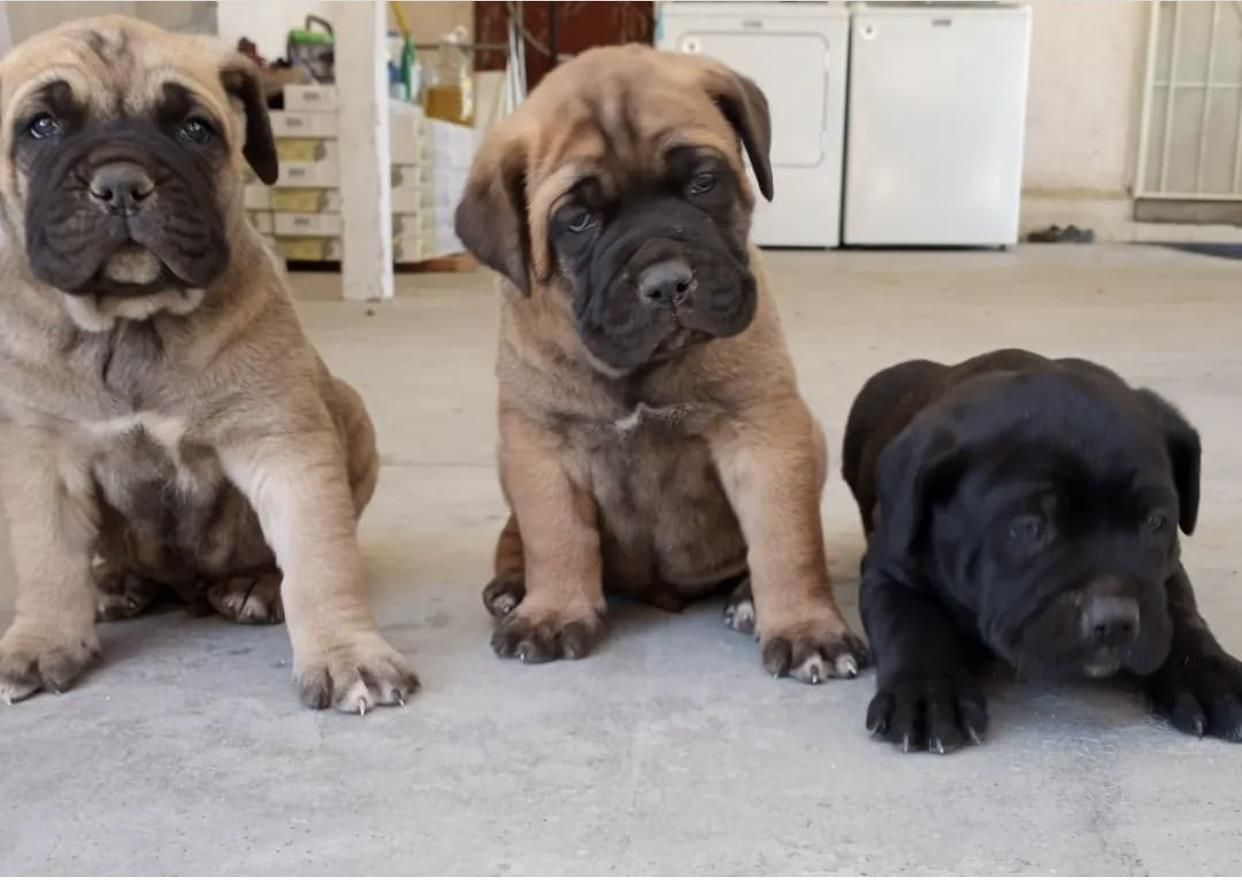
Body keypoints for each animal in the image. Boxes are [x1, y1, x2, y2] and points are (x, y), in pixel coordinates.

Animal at [0, 16, 417, 712]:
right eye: (41, 126)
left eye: (195, 129)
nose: (121, 183)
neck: (133, 324)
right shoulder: (39, 455)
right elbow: (45, 557)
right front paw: (40, 642)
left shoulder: (283, 443)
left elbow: (318, 559)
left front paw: (345, 654)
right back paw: (116, 582)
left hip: (350, 414)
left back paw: (254, 586)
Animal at [455, 45, 868, 681]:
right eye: (577, 221)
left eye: (702, 182)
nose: (667, 282)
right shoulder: (540, 442)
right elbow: (555, 534)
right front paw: (552, 611)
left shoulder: (764, 431)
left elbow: (785, 538)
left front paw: (805, 627)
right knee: (516, 535)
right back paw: (512, 586)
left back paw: (747, 596)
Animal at [843, 349, 1242, 751]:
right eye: (1030, 528)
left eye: (1157, 522)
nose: (1115, 622)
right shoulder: (889, 569)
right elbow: (912, 623)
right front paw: (928, 693)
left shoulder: (1168, 572)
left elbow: (1182, 615)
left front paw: (1212, 676)